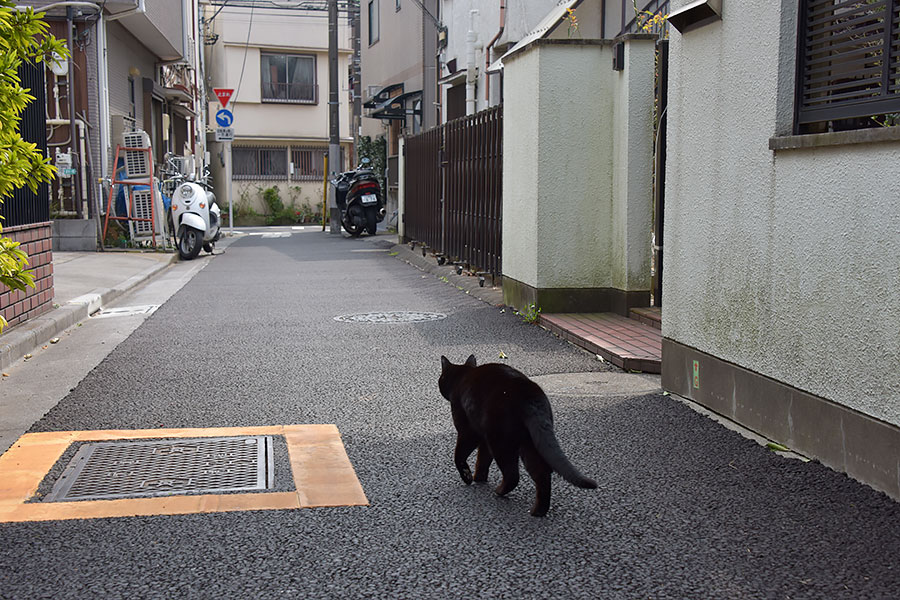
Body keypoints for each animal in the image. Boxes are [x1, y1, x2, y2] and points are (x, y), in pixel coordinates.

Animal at [438, 354, 596, 516]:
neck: (463, 376)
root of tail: (530, 396)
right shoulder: (484, 438)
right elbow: (482, 459)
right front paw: (479, 478)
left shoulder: (469, 431)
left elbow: (459, 455)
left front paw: (468, 477)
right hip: (529, 443)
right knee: (542, 474)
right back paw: (537, 511)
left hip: (502, 442)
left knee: (513, 475)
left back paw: (499, 491)